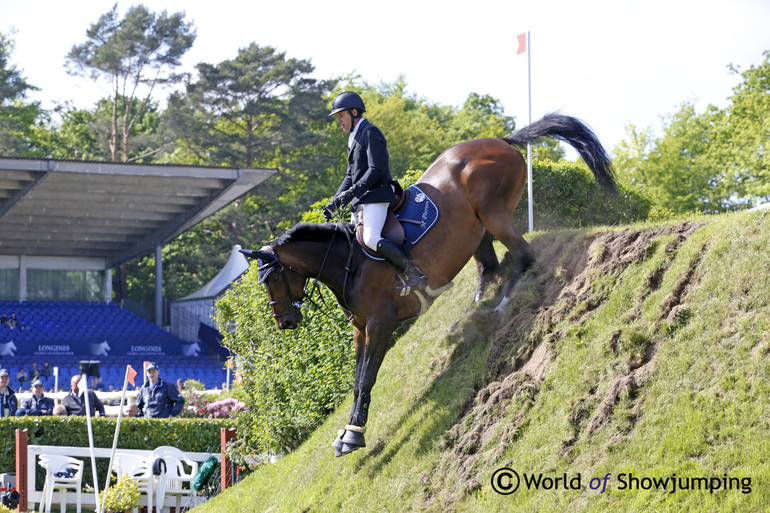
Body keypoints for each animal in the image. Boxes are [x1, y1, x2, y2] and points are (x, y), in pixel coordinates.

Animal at [243, 113, 616, 456]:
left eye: (273, 277)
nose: (285, 322)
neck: (349, 262)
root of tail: (500, 139)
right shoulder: (361, 328)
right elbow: (356, 381)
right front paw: (348, 430)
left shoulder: (381, 323)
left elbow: (367, 378)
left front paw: (354, 435)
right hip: (477, 230)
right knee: (489, 269)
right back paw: (467, 316)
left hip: (494, 214)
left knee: (523, 257)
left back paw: (499, 306)